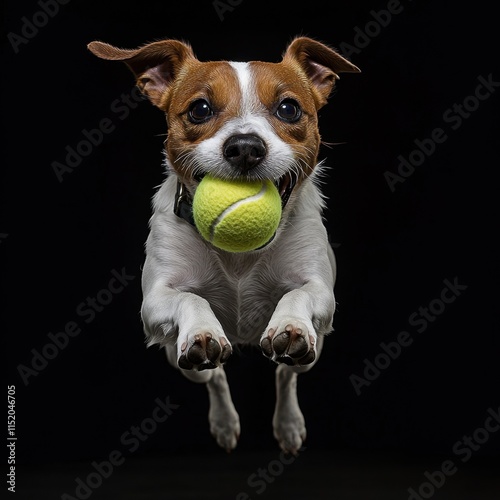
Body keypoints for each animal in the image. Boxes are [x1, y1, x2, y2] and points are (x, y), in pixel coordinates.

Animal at [87, 36, 360, 454]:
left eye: (289, 108)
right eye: (199, 109)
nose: (245, 146)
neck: (240, 257)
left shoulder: (320, 291)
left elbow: (297, 294)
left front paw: (290, 323)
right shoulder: (155, 303)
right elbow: (189, 298)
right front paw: (203, 329)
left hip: (312, 354)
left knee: (286, 374)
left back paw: (288, 423)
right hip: (176, 357)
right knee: (213, 376)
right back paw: (224, 420)